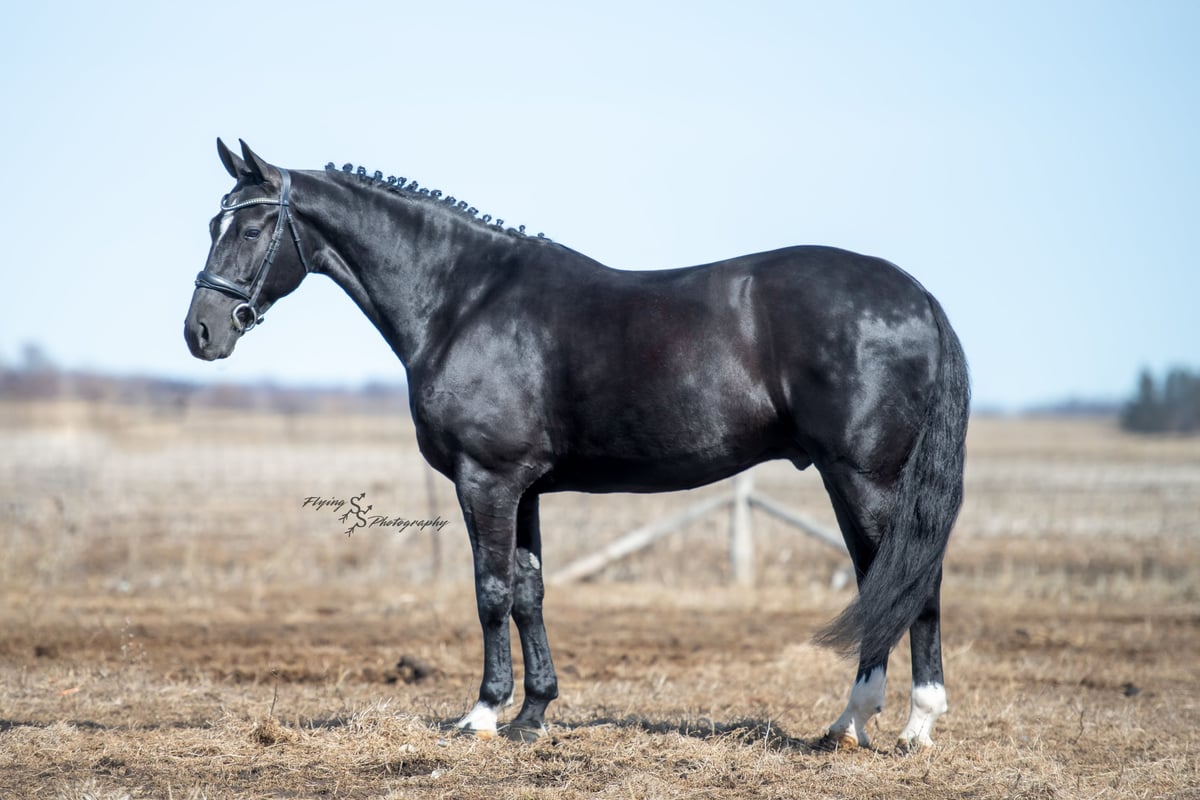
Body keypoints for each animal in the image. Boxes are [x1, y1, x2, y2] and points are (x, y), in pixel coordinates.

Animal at [184, 139, 969, 749]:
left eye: (250, 228)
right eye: (215, 221)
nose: (201, 332)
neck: (463, 300)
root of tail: (917, 296)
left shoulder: (486, 479)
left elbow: (491, 592)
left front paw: (481, 715)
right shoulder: (524, 486)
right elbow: (530, 592)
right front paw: (533, 715)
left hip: (864, 476)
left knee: (911, 580)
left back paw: (896, 723)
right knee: (889, 581)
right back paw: (867, 723)